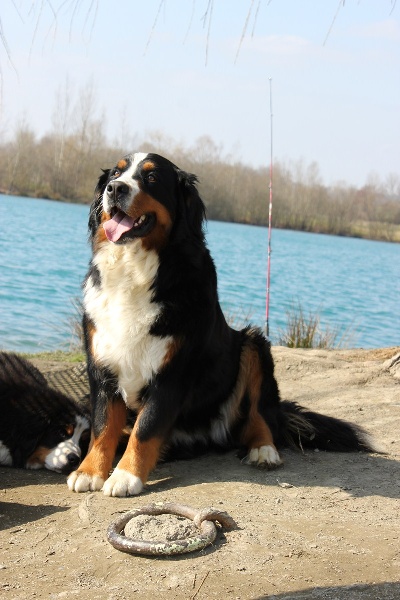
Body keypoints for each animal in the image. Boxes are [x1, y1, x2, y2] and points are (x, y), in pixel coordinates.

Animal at [67, 152, 376, 497]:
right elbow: (103, 423)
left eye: (151, 178)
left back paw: (264, 450)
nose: (115, 189)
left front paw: (125, 475)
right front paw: (90, 471)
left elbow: (146, 427)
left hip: (253, 344)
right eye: (115, 174)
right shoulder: (102, 362)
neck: (135, 270)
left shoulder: (172, 371)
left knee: (260, 417)